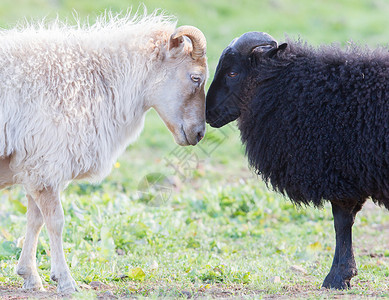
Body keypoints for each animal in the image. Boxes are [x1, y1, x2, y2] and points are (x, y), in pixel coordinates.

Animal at [0, 12, 208, 292]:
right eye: (195, 77)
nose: (199, 133)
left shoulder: (38, 165)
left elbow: (35, 220)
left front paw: (30, 277)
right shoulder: (46, 164)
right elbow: (55, 222)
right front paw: (65, 281)